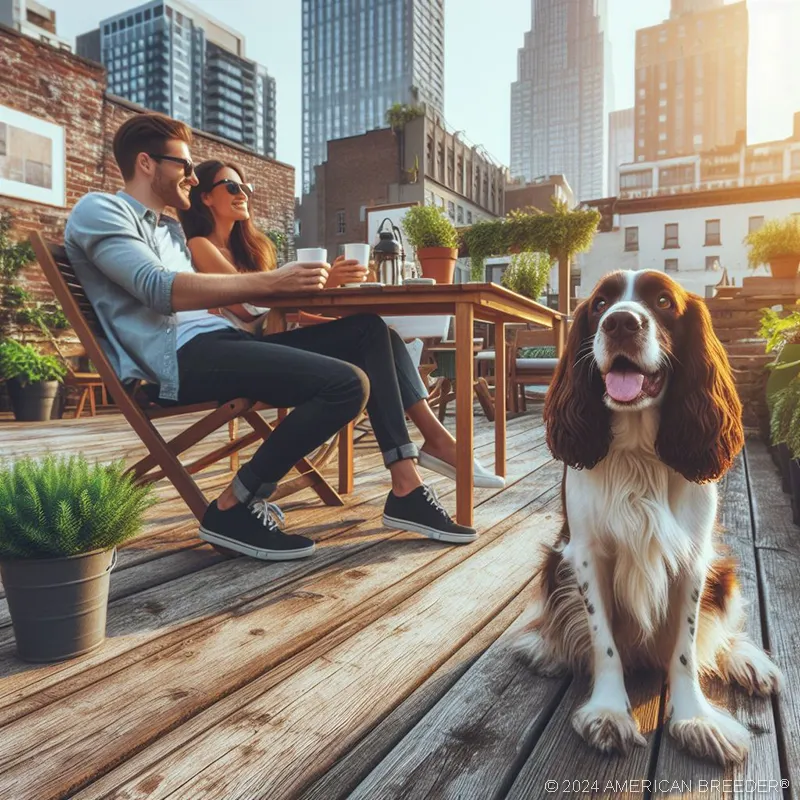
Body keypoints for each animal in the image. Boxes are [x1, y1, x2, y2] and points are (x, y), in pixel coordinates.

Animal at [512, 268, 780, 764]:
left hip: (723, 572)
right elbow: (602, 641)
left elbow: (686, 648)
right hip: (554, 562)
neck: (638, 451)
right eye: (600, 304)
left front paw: (696, 718)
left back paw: (748, 662)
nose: (621, 322)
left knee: (723, 630)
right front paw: (608, 712)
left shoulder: (694, 559)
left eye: (663, 301)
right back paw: (545, 649)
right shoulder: (585, 554)